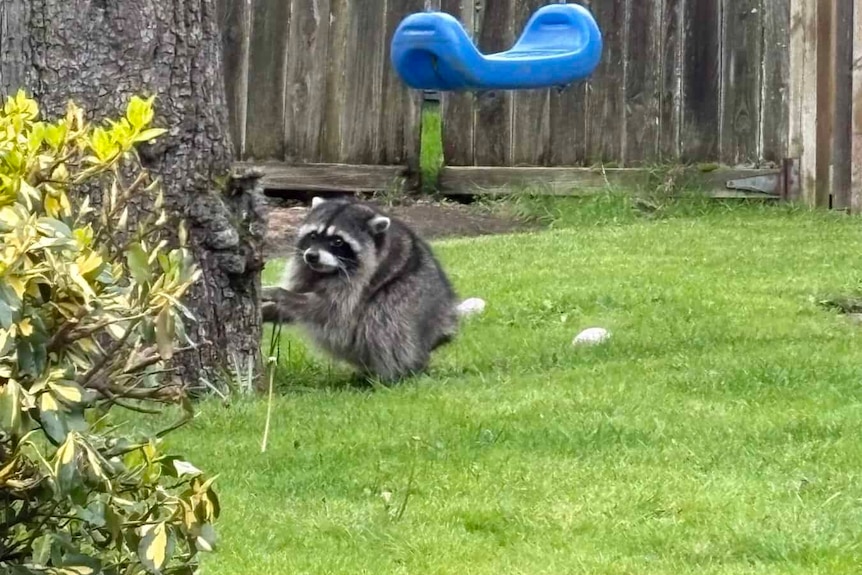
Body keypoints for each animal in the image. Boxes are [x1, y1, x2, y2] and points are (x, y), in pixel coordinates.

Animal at [262, 197, 459, 382]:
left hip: (411, 300)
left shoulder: (361, 280)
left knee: (384, 317)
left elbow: (328, 309)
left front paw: (280, 293)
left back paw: (393, 374)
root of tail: (442, 328)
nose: (311, 256)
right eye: (313, 236)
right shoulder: (305, 269)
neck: (327, 271)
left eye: (338, 241)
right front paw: (270, 310)